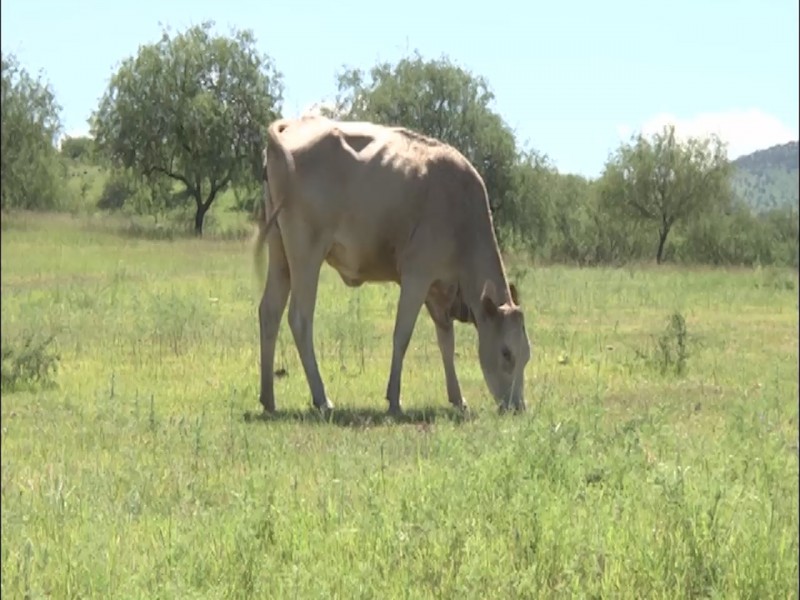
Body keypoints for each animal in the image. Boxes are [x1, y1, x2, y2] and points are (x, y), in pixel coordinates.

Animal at [253, 115, 536, 414]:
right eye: (506, 353)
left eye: (527, 354)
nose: (519, 406)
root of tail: (292, 125)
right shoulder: (416, 276)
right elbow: (402, 335)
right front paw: (395, 400)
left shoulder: (439, 290)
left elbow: (446, 341)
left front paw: (458, 399)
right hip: (306, 253)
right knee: (300, 318)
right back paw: (322, 398)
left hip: (280, 253)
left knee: (270, 312)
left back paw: (268, 398)